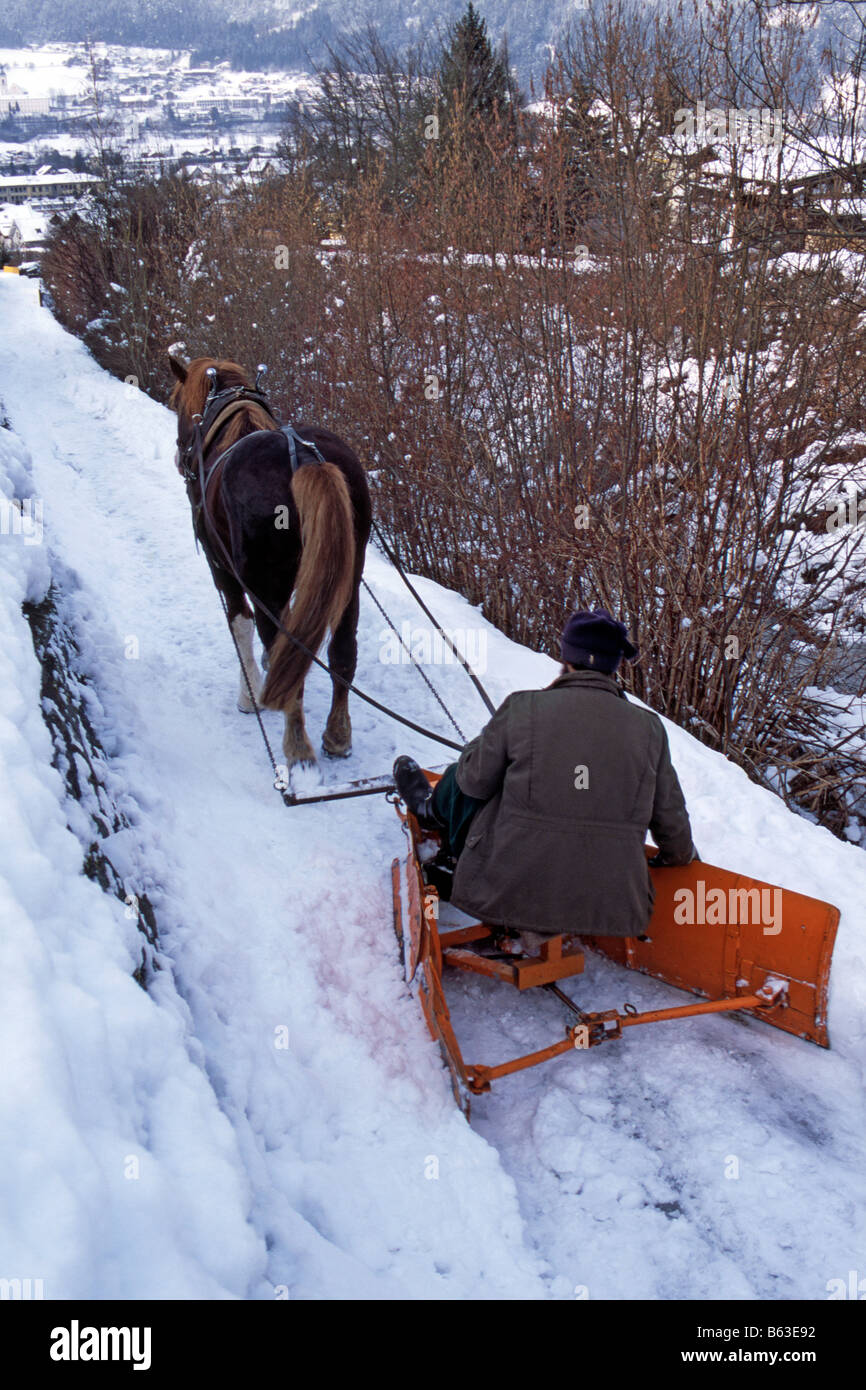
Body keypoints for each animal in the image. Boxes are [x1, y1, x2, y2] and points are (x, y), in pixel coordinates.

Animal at [168, 351, 372, 771]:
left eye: (177, 405)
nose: (179, 459)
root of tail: (305, 458)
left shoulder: (222, 567)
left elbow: (240, 624)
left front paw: (249, 696)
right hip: (349, 579)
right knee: (342, 653)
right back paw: (337, 737)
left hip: (264, 582)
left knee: (286, 651)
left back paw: (296, 746)